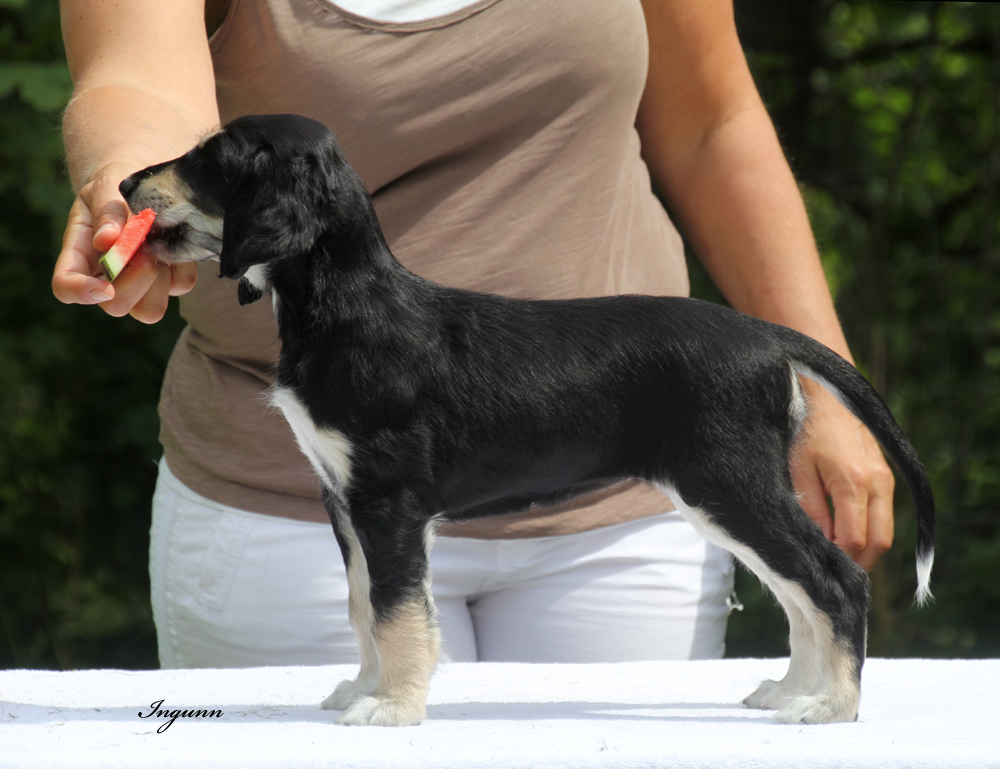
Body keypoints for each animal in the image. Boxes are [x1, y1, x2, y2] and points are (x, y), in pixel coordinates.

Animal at [119, 112, 936, 728]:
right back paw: (794, 690)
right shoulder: (342, 499)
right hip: (728, 491)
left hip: (730, 484)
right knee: (801, 590)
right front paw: (365, 688)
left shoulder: (388, 501)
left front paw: (393, 707)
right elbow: (361, 603)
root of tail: (767, 335)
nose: (125, 183)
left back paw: (832, 706)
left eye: (209, 159)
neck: (348, 308)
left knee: (834, 578)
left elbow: (395, 608)